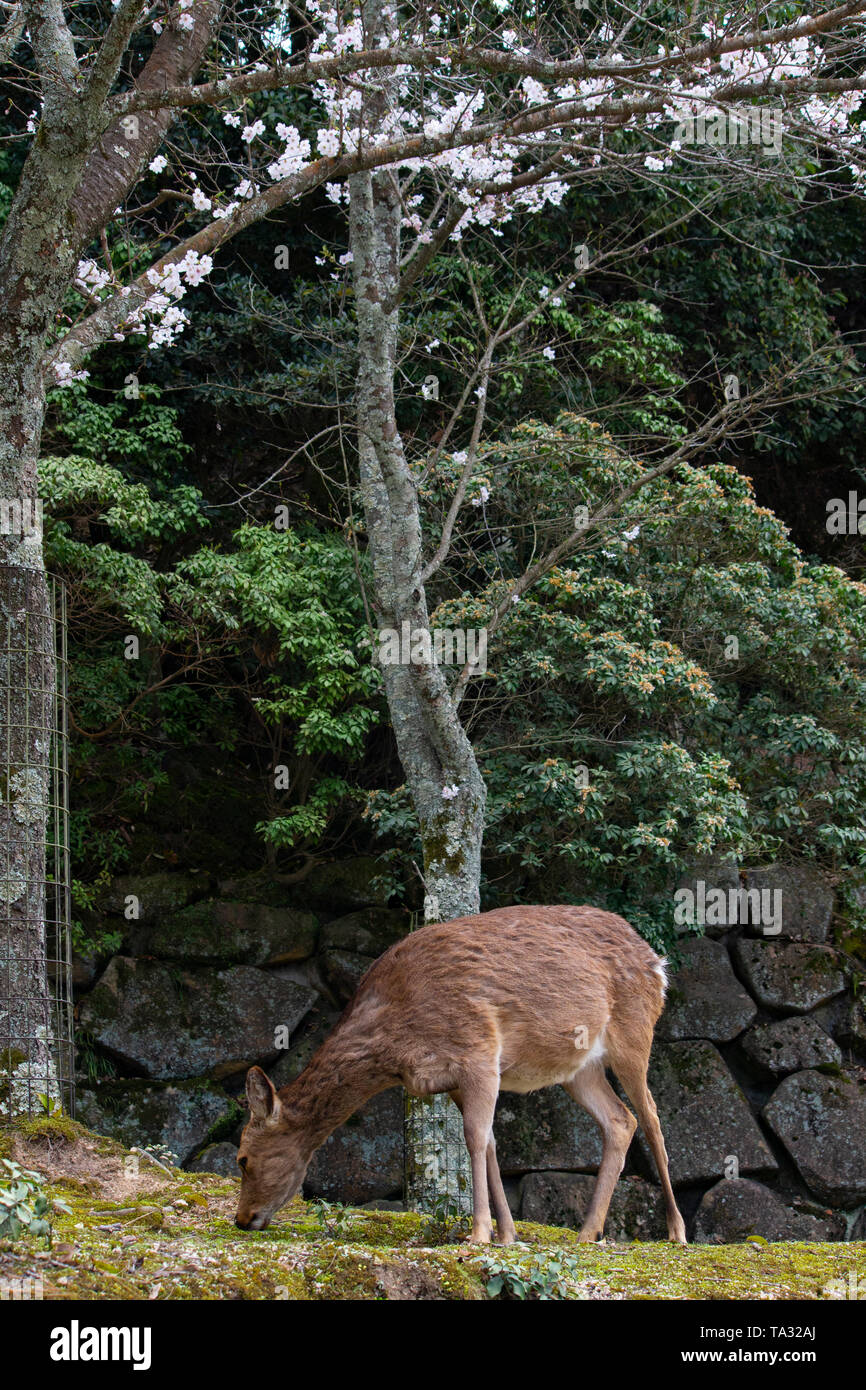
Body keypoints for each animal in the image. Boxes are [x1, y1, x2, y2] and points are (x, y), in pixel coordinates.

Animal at [233, 906, 686, 1245]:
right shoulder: (449, 1081)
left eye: (242, 1158)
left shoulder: (479, 1050)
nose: (241, 1218)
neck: (395, 1041)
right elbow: (489, 1143)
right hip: (579, 1069)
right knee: (620, 1121)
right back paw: (587, 1232)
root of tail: (658, 964)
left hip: (634, 1034)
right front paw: (507, 1234)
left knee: (652, 1117)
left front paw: (479, 1233)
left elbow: (474, 1138)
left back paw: (676, 1231)